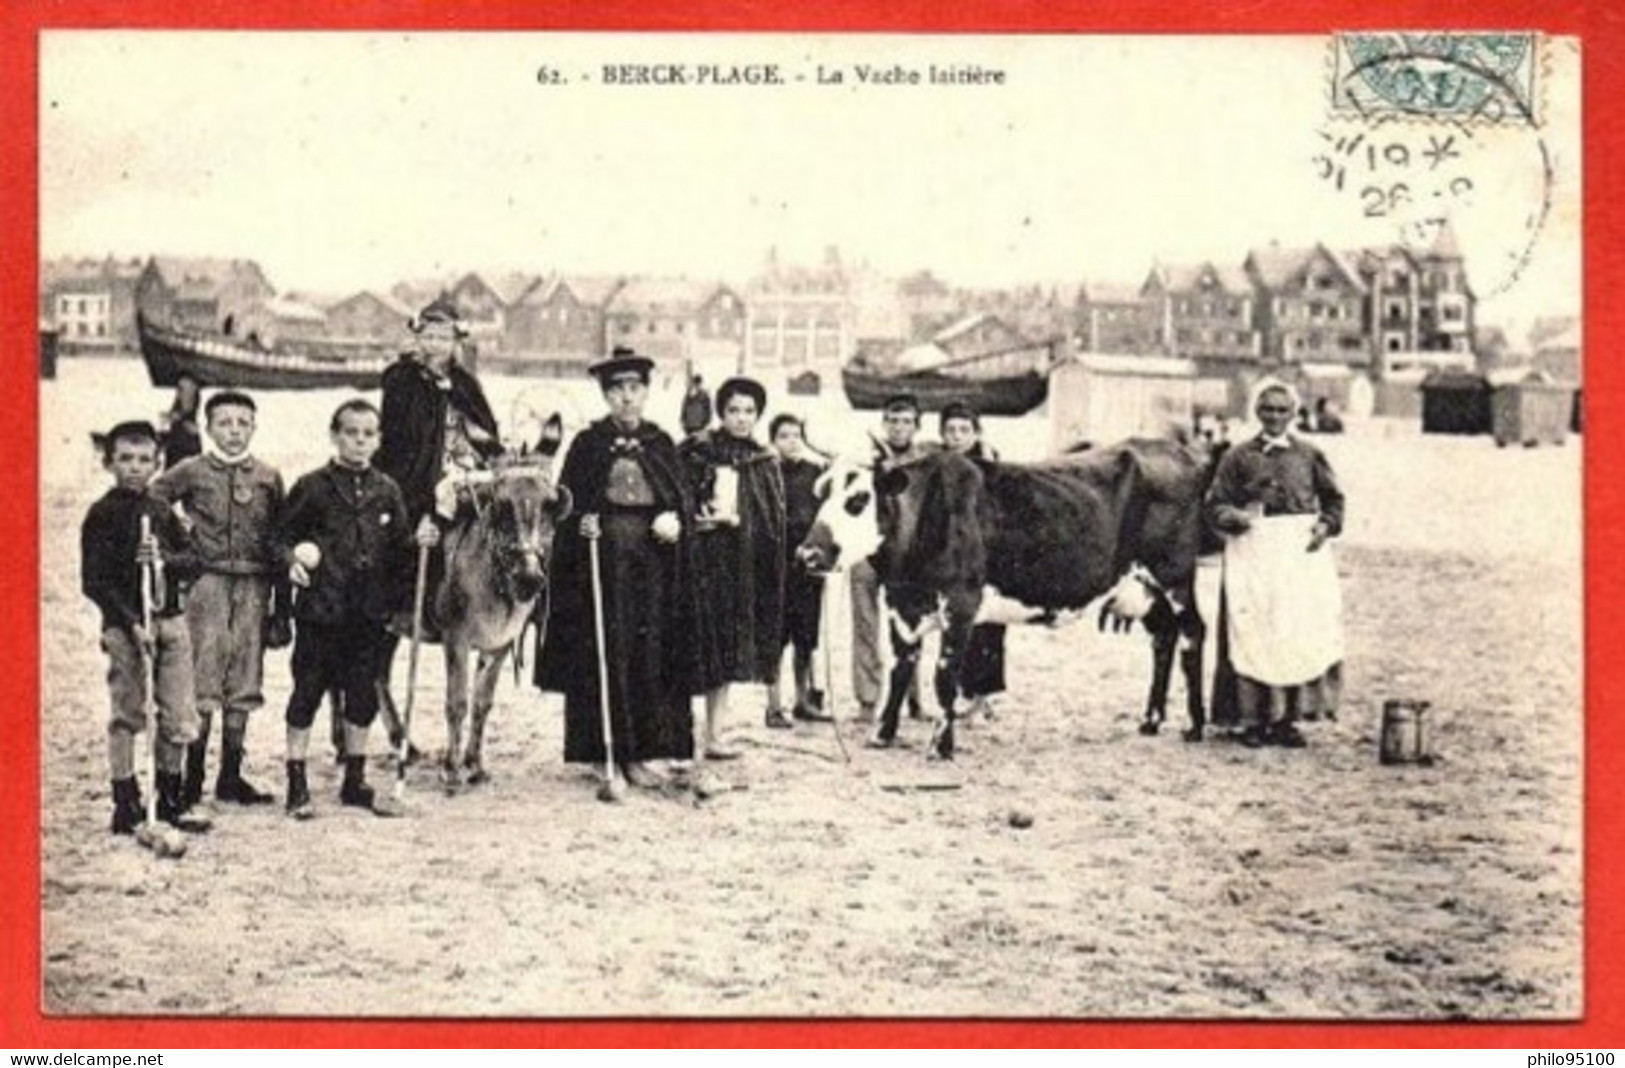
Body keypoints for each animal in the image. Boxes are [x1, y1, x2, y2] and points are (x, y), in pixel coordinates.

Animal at [793, 438, 1215, 757]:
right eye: (822, 492)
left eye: (858, 499)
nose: (808, 554)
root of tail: (1174, 449)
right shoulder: (903, 606)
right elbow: (901, 669)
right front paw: (882, 733)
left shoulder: (961, 604)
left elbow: (944, 676)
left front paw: (941, 745)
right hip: (1143, 590)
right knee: (1163, 639)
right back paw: (1150, 720)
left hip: (1174, 577)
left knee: (1192, 633)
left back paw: (1194, 725)